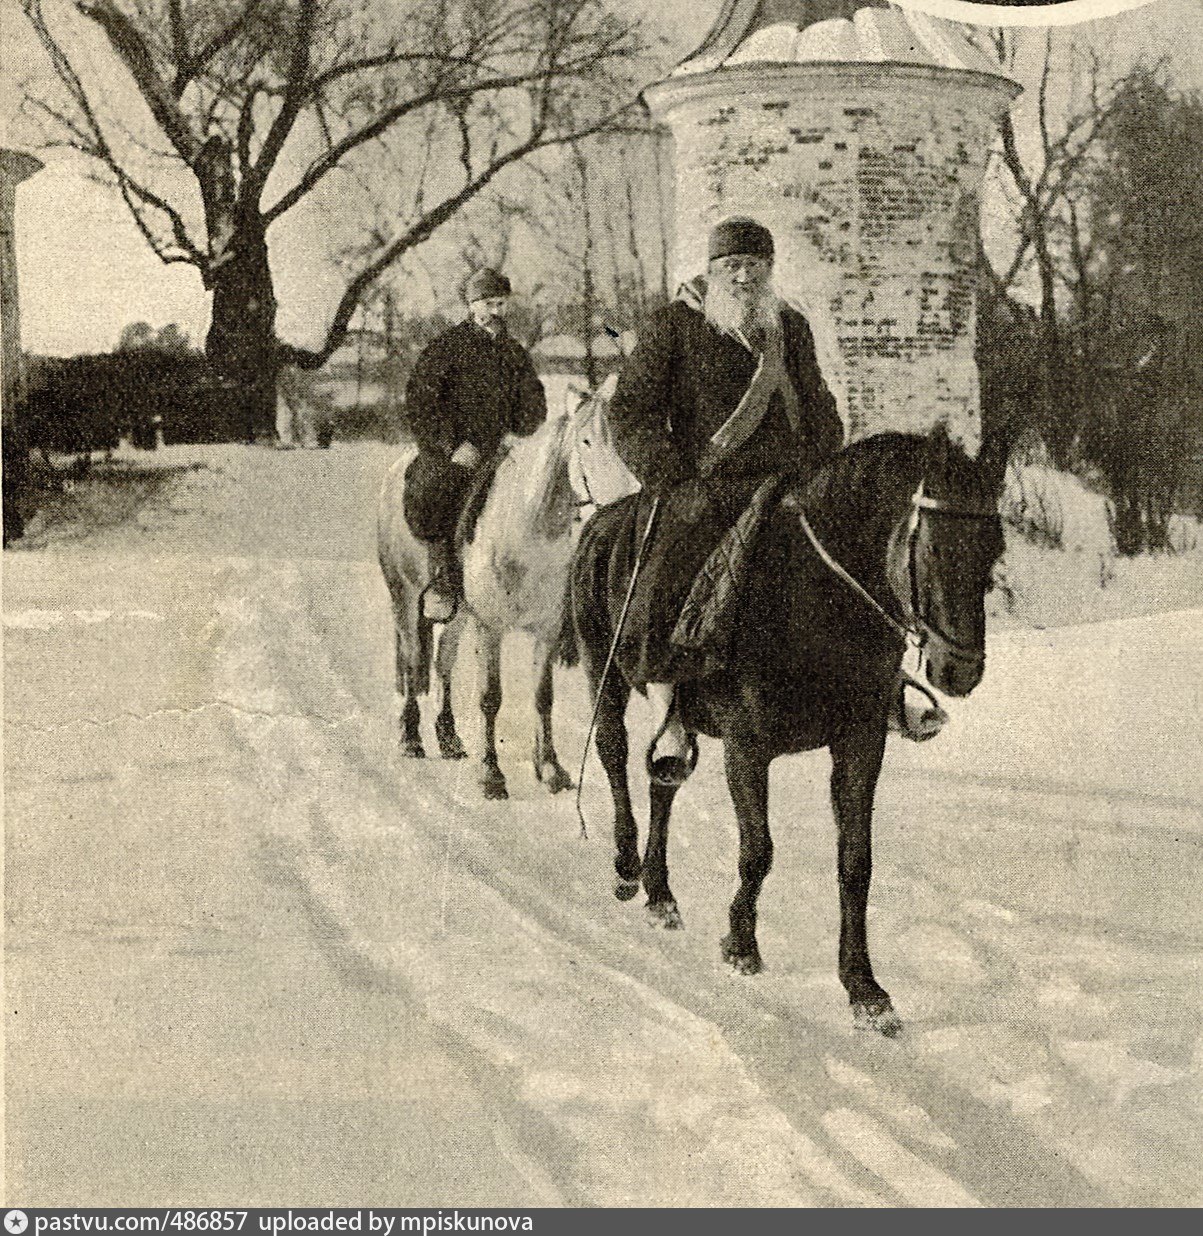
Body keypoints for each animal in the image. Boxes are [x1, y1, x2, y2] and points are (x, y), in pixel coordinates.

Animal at [373, 405, 583, 800]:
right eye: (589, 441)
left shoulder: (546, 629)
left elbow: (543, 697)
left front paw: (551, 769)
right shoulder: (490, 627)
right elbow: (490, 697)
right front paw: (491, 775)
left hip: (457, 615)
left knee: (443, 662)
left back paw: (449, 739)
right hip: (404, 597)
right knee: (411, 660)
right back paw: (411, 739)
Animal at [573, 425, 1003, 1033]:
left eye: (995, 549)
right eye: (937, 548)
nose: (961, 670)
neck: (817, 600)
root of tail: (600, 522)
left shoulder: (860, 745)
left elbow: (855, 863)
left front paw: (864, 989)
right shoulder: (747, 749)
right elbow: (758, 851)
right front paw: (740, 944)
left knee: (665, 778)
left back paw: (661, 894)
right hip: (603, 672)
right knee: (614, 755)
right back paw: (628, 869)